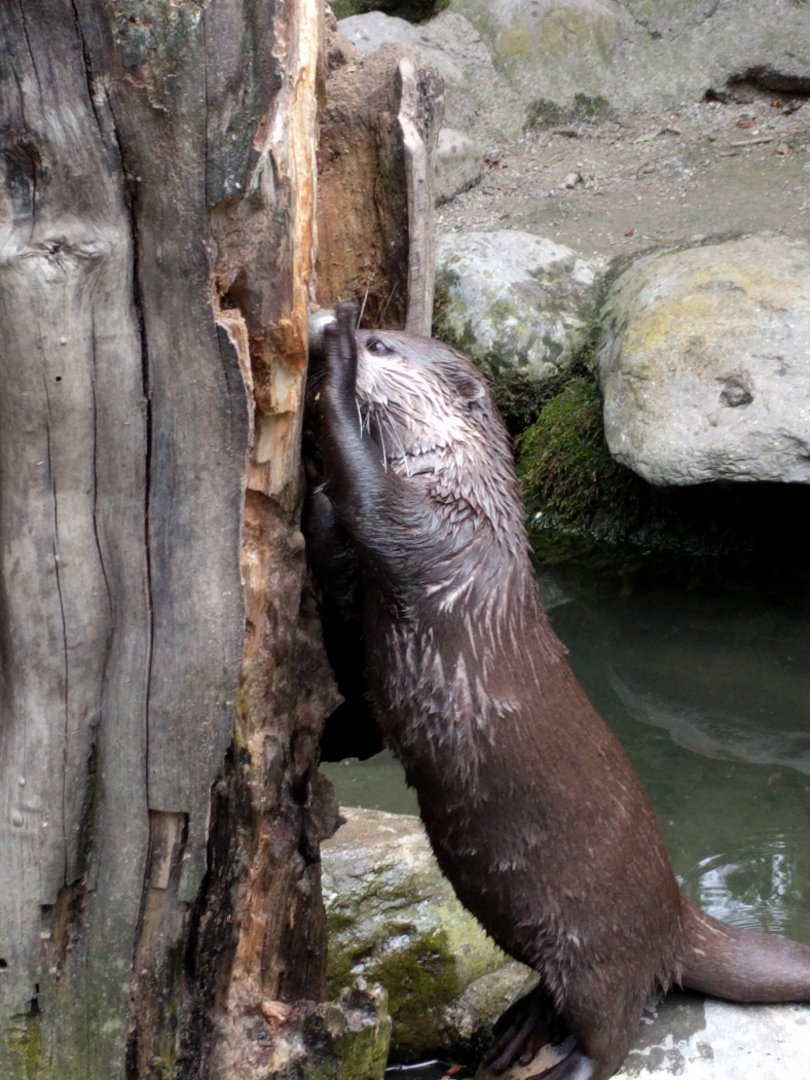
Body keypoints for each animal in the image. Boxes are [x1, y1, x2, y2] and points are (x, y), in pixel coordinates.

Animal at [306, 302, 810, 1080]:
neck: (465, 491)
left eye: (383, 345)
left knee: (615, 1028)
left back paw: (560, 1063)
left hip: (597, 950)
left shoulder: (427, 527)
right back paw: (515, 1032)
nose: (353, 333)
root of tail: (674, 917)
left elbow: (364, 493)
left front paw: (331, 360)